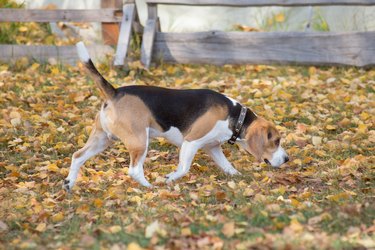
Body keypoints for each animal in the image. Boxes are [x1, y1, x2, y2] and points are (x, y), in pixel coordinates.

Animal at [64, 42, 290, 191]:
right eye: (276, 141)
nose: (287, 159)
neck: (235, 116)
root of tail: (114, 92)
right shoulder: (191, 142)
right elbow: (183, 168)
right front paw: (169, 178)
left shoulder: (212, 147)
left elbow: (228, 166)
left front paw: (238, 176)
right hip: (139, 140)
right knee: (134, 170)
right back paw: (150, 186)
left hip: (102, 139)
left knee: (77, 156)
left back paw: (69, 183)